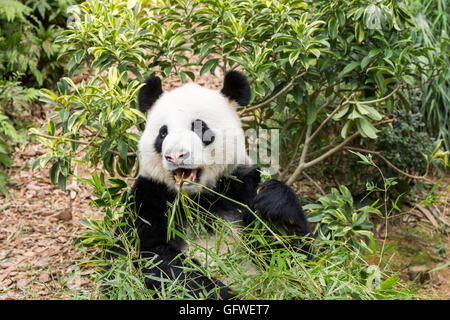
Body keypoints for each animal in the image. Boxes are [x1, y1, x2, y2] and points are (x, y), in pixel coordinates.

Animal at [108, 70, 312, 300]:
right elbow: (154, 257)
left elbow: (290, 258)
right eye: (163, 133)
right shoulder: (150, 196)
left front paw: (278, 211)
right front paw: (223, 293)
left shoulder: (241, 187)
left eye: (199, 127)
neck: (198, 198)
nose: (175, 155)